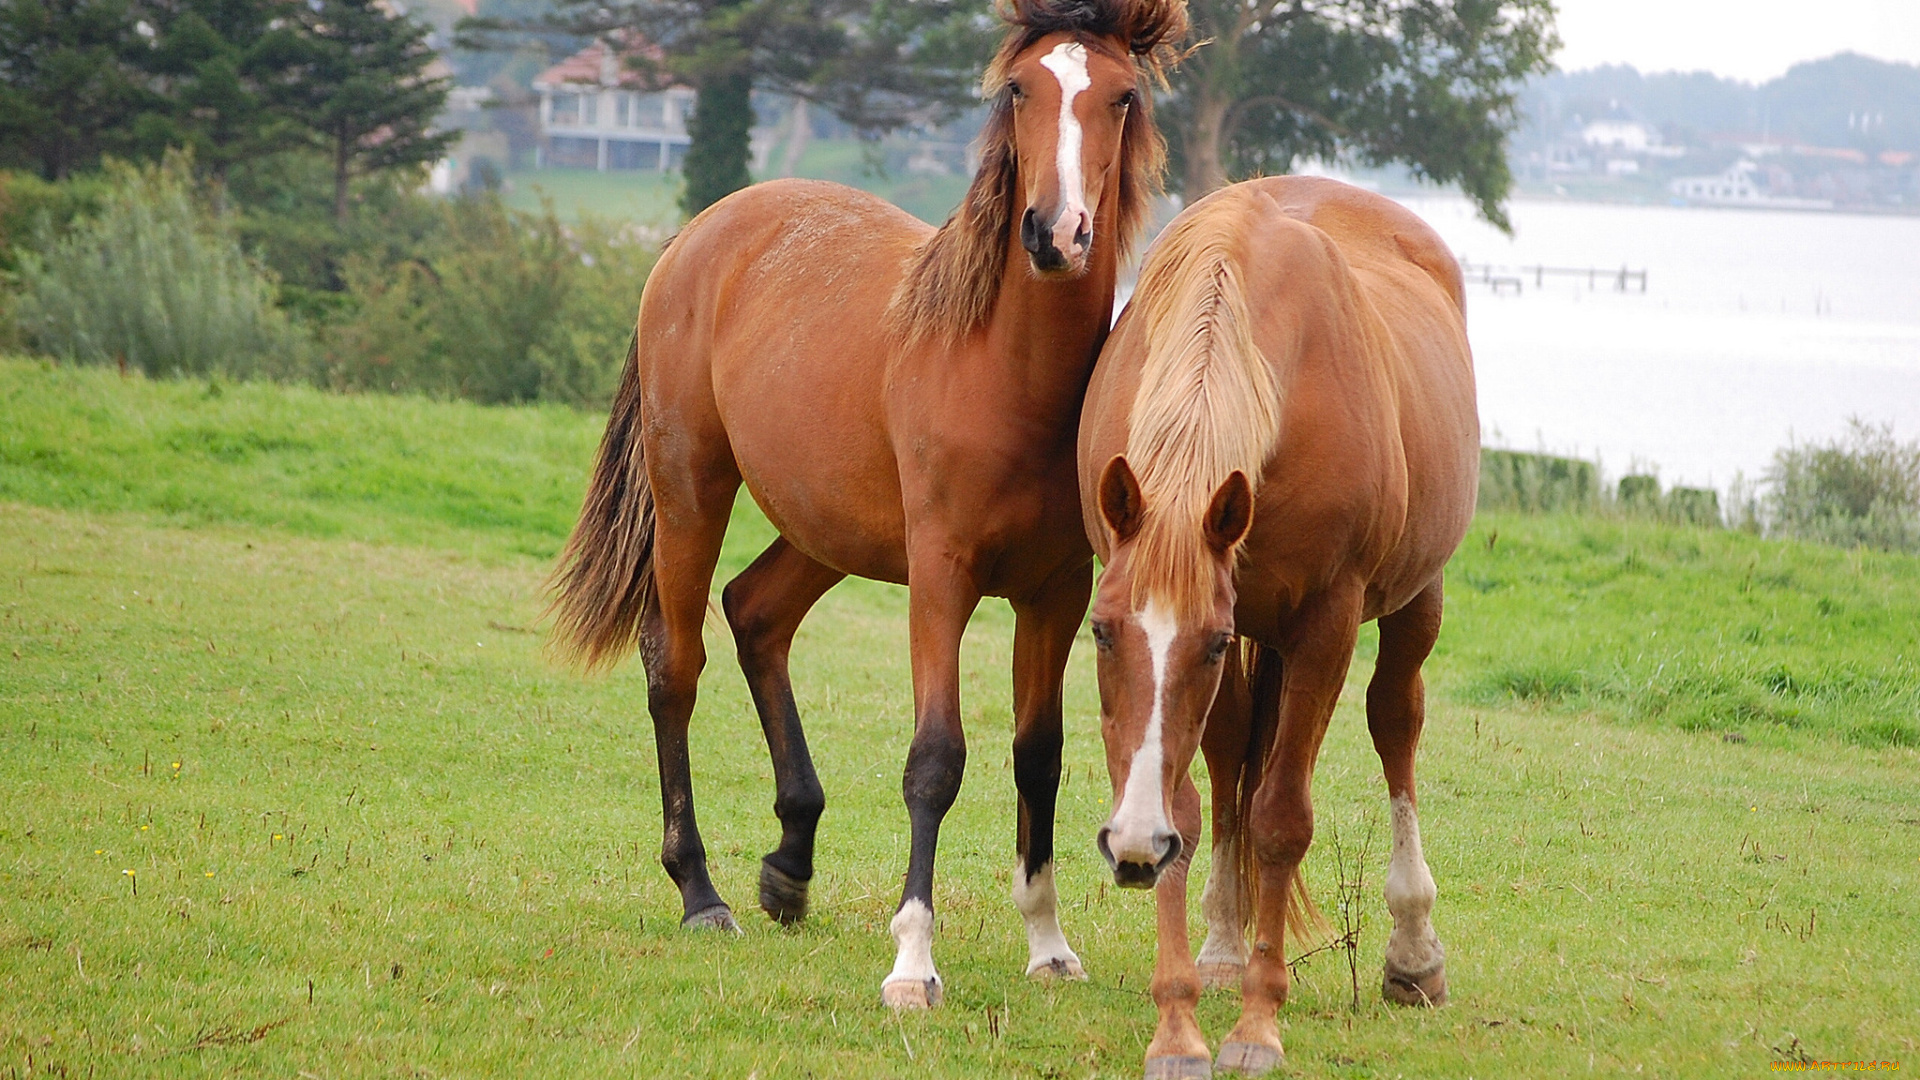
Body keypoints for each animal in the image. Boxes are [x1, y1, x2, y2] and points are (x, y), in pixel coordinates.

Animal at [549, 0, 1190, 1006]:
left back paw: (789, 865)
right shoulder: (941, 578)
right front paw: (912, 964)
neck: (1004, 372)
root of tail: (700, 234)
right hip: (691, 488)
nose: (1055, 232)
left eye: (1122, 96)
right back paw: (702, 892)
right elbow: (936, 761)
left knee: (756, 615)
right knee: (675, 665)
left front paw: (1048, 945)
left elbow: (1037, 757)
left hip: (824, 530)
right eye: (1020, 88)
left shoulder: (1055, 592)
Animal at [1082, 174, 1466, 1068]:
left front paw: (1257, 1026)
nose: (1130, 849)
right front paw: (1179, 1026)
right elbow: (1187, 808)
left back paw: (1413, 952)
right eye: (1103, 632)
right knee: (1229, 761)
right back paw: (1225, 944)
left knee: (1396, 723)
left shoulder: (1321, 625)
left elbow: (1283, 820)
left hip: (1412, 602)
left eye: (1213, 642)